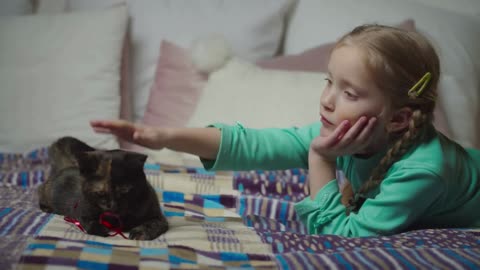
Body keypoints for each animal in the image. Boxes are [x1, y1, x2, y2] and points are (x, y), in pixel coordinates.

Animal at [38, 137, 169, 240]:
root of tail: (67, 166)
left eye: (124, 190)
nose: (112, 205)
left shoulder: (158, 218)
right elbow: (89, 223)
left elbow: (151, 224)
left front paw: (140, 232)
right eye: (100, 193)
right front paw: (101, 228)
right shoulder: (81, 212)